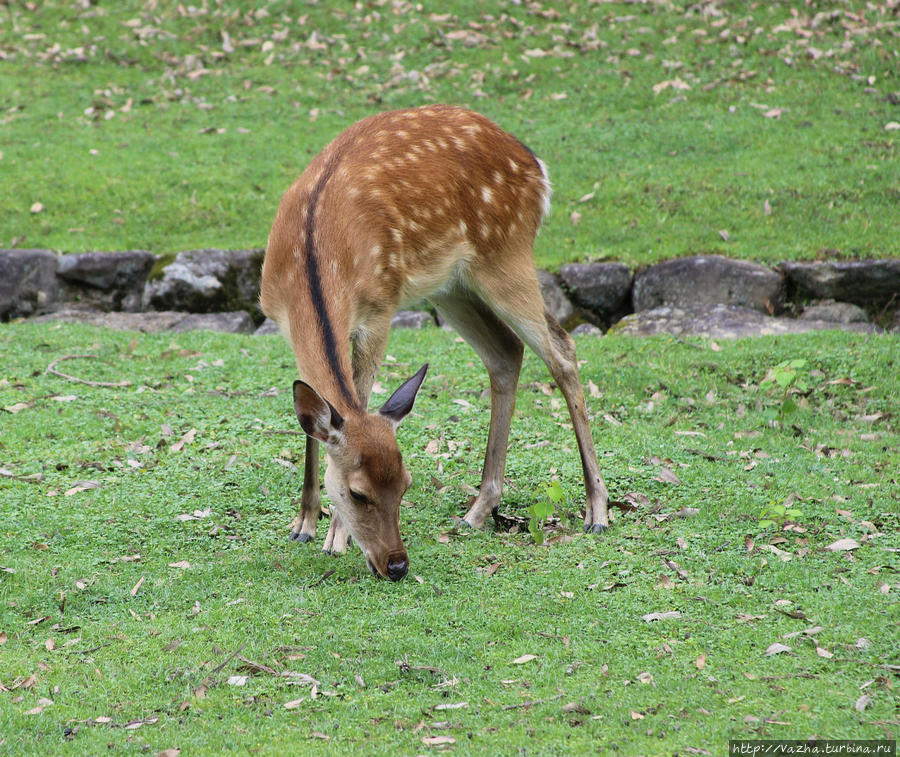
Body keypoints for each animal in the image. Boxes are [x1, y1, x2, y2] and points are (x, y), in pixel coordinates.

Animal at [260, 105, 612, 580]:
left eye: (406, 485)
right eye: (358, 492)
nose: (396, 565)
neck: (313, 264)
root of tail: (536, 167)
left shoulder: (379, 309)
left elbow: (357, 399)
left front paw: (335, 539)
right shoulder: (282, 324)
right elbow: (313, 421)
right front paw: (303, 525)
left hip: (506, 253)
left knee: (562, 349)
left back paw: (598, 510)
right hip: (452, 285)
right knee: (506, 351)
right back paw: (477, 511)